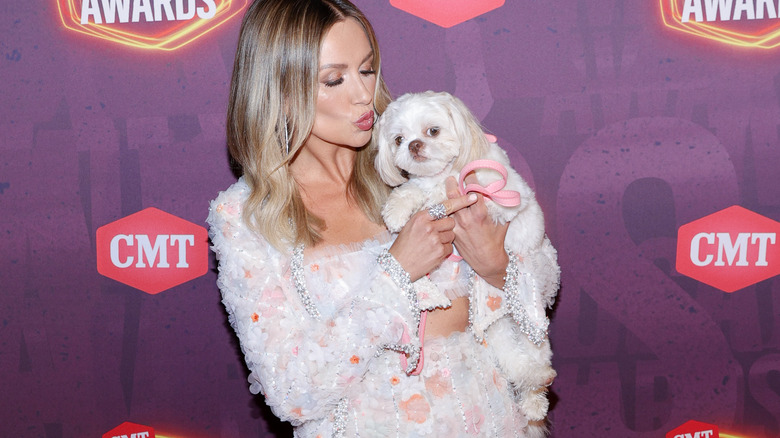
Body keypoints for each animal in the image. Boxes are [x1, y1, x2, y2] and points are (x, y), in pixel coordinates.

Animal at [374, 90, 556, 430]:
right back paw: (532, 393)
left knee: (538, 359)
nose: (414, 145)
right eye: (398, 139)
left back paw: (537, 396)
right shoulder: (421, 183)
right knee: (519, 365)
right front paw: (397, 209)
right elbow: (412, 188)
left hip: (531, 324)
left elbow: (455, 196)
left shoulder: (503, 198)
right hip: (495, 330)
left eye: (433, 130)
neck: (447, 173)